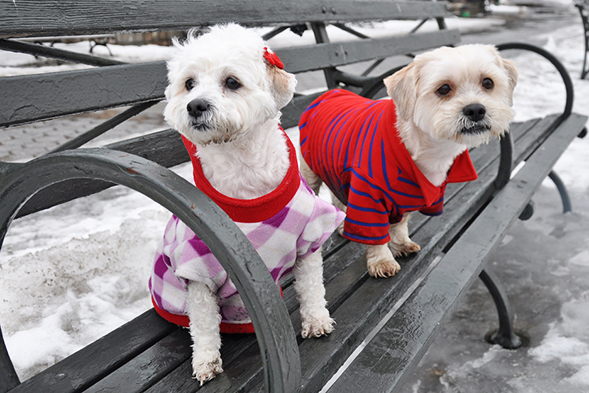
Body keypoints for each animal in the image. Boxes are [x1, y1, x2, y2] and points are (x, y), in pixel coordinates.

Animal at [152, 23, 342, 382]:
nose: (195, 106)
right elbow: (204, 324)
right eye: (189, 83)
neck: (244, 171)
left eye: (231, 82)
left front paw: (317, 321)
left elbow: (312, 287)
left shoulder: (309, 239)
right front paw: (206, 361)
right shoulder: (196, 269)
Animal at [300, 46, 516, 278]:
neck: (430, 150)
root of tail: (330, 92)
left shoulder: (410, 196)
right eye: (443, 88)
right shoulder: (367, 196)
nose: (476, 110)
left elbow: (400, 224)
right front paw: (382, 261)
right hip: (310, 171)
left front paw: (401, 243)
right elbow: (375, 234)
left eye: (488, 83)